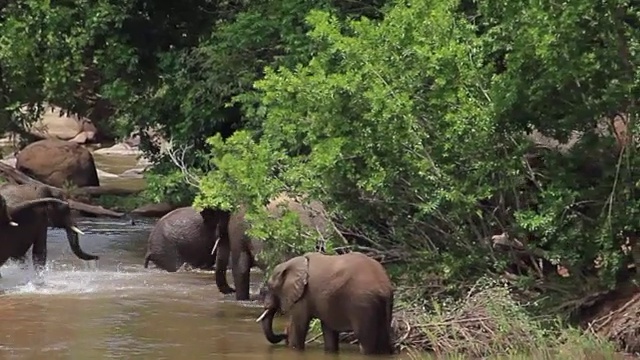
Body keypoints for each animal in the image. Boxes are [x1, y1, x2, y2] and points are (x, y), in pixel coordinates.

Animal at [255, 252, 396, 356]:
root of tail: (385, 288)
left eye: (270, 287)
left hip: (364, 304)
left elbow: (299, 326)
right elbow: (328, 330)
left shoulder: (303, 296)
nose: (284, 334)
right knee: (384, 340)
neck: (292, 263)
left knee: (366, 341)